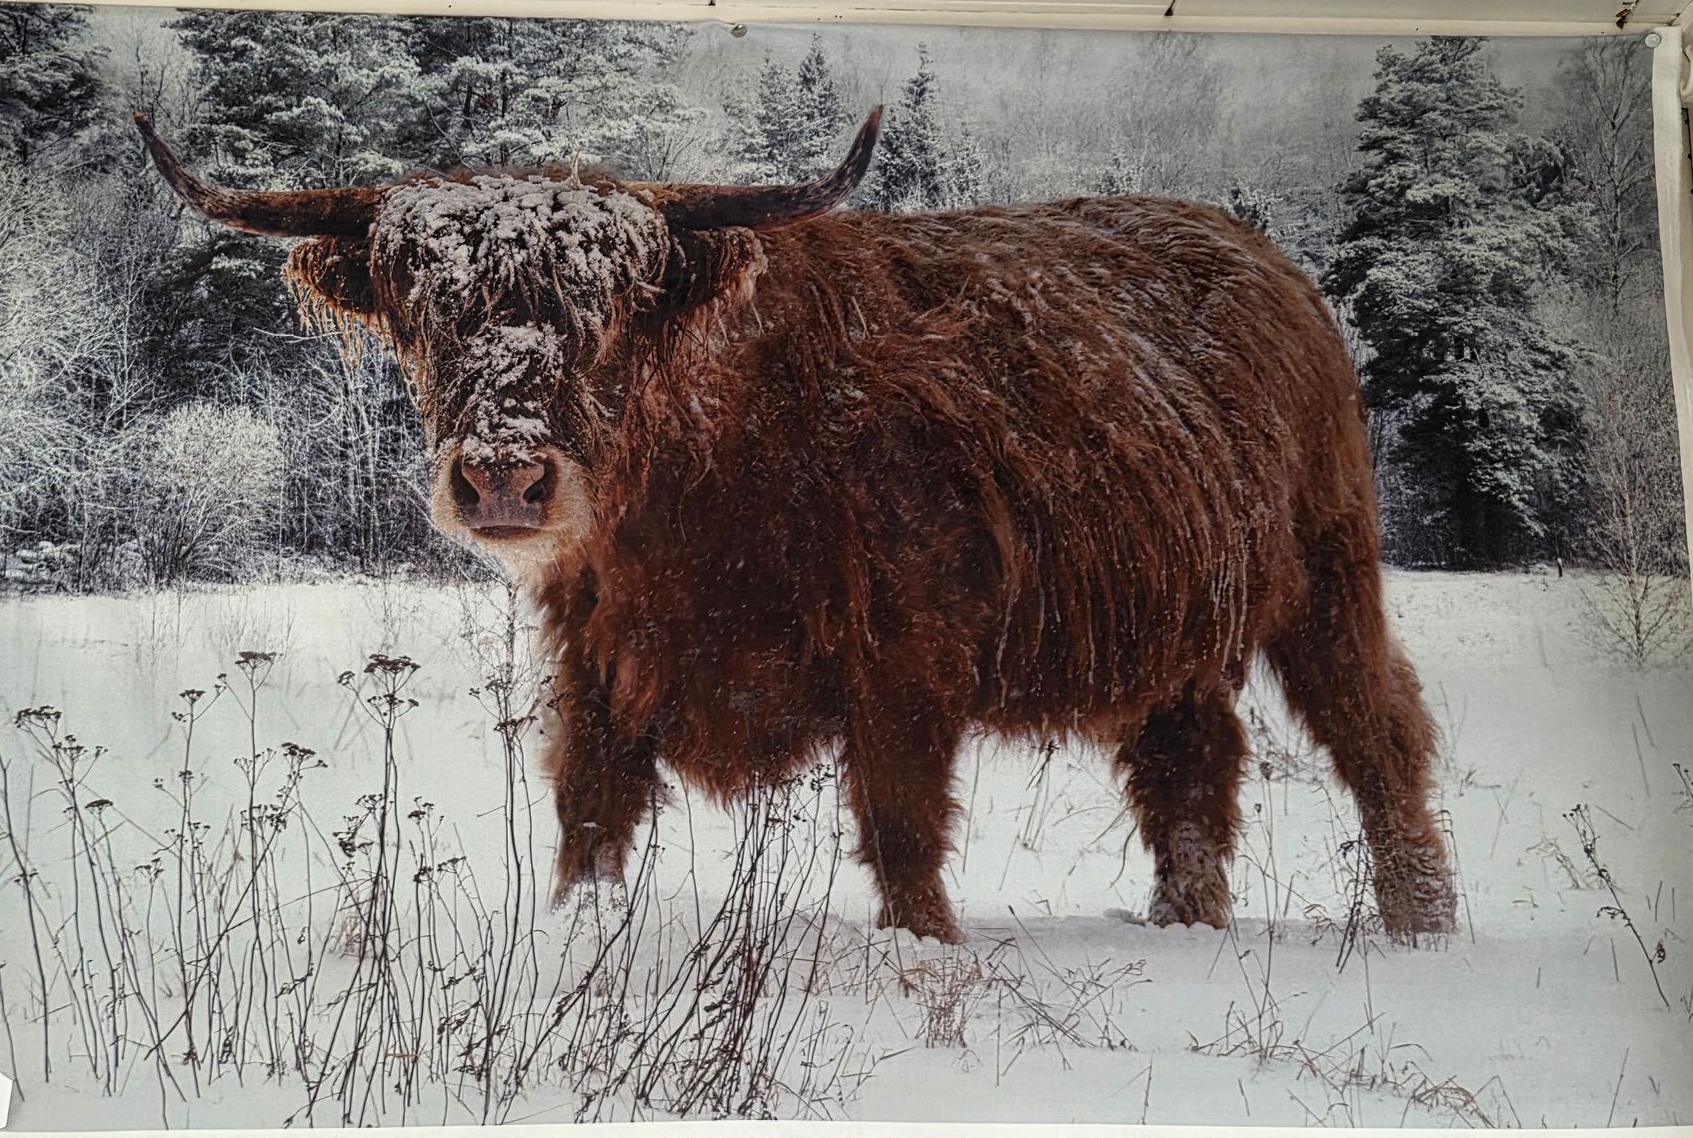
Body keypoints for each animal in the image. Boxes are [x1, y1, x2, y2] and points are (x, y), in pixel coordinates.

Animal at [135, 108, 1457, 944]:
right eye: (429, 310)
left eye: (608, 311)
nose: (505, 479)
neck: (698, 481)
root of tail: (1267, 262)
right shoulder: (601, 660)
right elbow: (590, 818)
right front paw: (579, 936)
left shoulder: (907, 657)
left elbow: (903, 830)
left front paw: (929, 957)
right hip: (1173, 621)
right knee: (1189, 767)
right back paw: (1185, 923)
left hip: (1330, 574)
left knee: (1376, 731)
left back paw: (1420, 923)